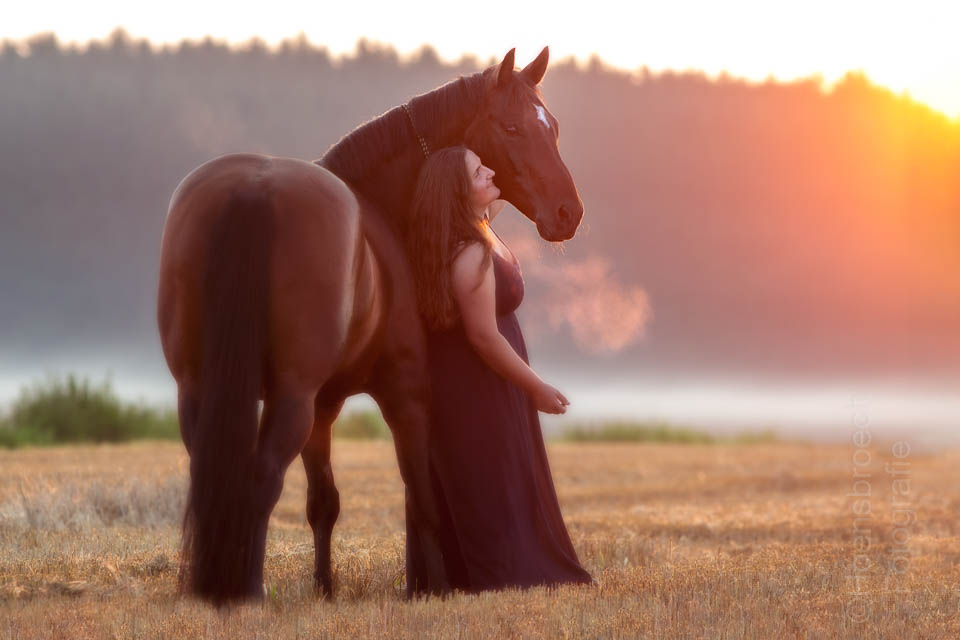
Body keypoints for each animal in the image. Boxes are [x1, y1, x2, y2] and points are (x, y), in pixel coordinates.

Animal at [158, 47, 584, 604]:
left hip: (201, 390)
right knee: (262, 476)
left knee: (214, 472)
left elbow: (324, 502)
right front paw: (433, 588)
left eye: (552, 126)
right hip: (290, 397)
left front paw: (324, 589)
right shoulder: (406, 393)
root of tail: (254, 188)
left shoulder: (323, 407)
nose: (569, 213)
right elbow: (421, 496)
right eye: (511, 127)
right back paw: (248, 590)